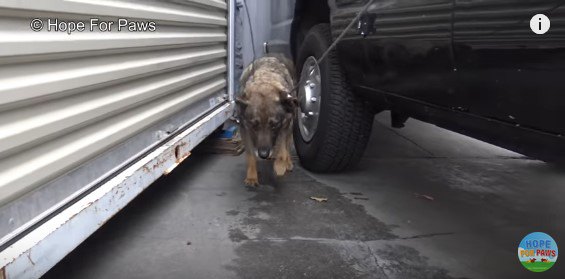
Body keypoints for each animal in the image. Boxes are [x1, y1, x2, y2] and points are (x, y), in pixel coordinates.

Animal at [236, 53, 298, 187]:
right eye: (254, 125)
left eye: (274, 125)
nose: (263, 154)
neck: (265, 81)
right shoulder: (245, 129)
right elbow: (250, 155)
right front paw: (252, 176)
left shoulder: (285, 124)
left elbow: (282, 149)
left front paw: (280, 165)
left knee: (287, 144)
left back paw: (287, 162)